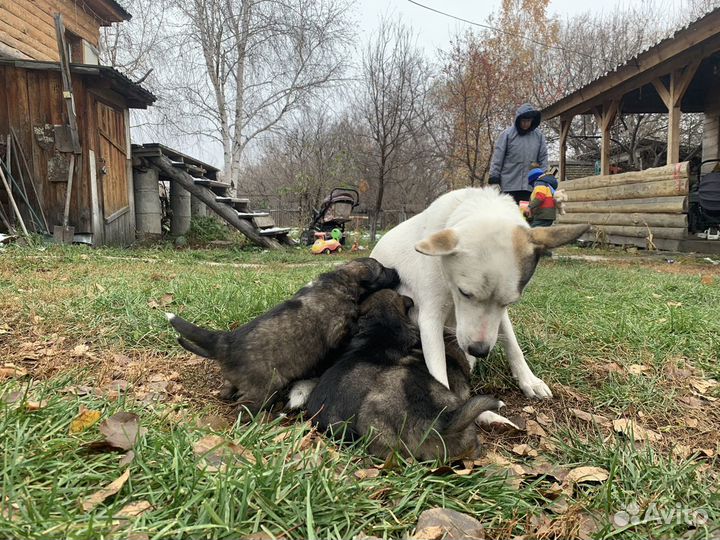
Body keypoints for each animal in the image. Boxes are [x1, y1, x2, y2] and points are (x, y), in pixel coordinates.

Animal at [165, 258, 400, 414]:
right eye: (382, 270)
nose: (396, 271)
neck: (339, 280)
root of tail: (225, 342)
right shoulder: (338, 331)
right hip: (262, 390)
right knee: (244, 408)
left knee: (227, 390)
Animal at [368, 188, 588, 398]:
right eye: (464, 293)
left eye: (510, 302)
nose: (479, 351)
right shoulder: (431, 318)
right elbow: (438, 373)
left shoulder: (500, 314)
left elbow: (512, 343)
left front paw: (529, 380)